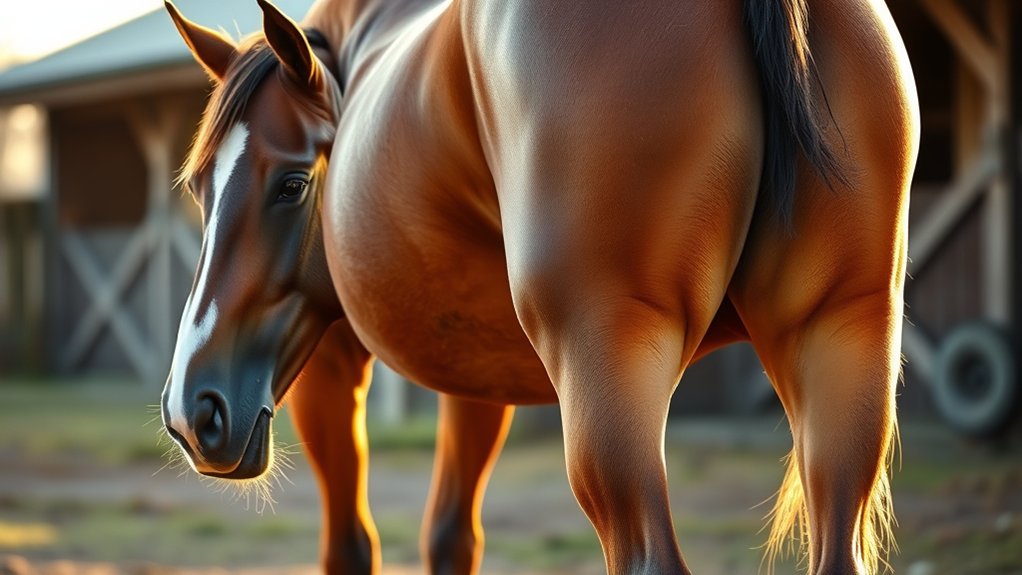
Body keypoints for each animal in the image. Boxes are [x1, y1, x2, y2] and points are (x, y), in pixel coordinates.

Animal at [159, 0, 919, 573]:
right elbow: (451, 537)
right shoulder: (475, 380)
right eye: (198, 189)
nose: (191, 411)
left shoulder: (332, 360)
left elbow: (351, 548)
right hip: (839, 334)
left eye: (291, 184)